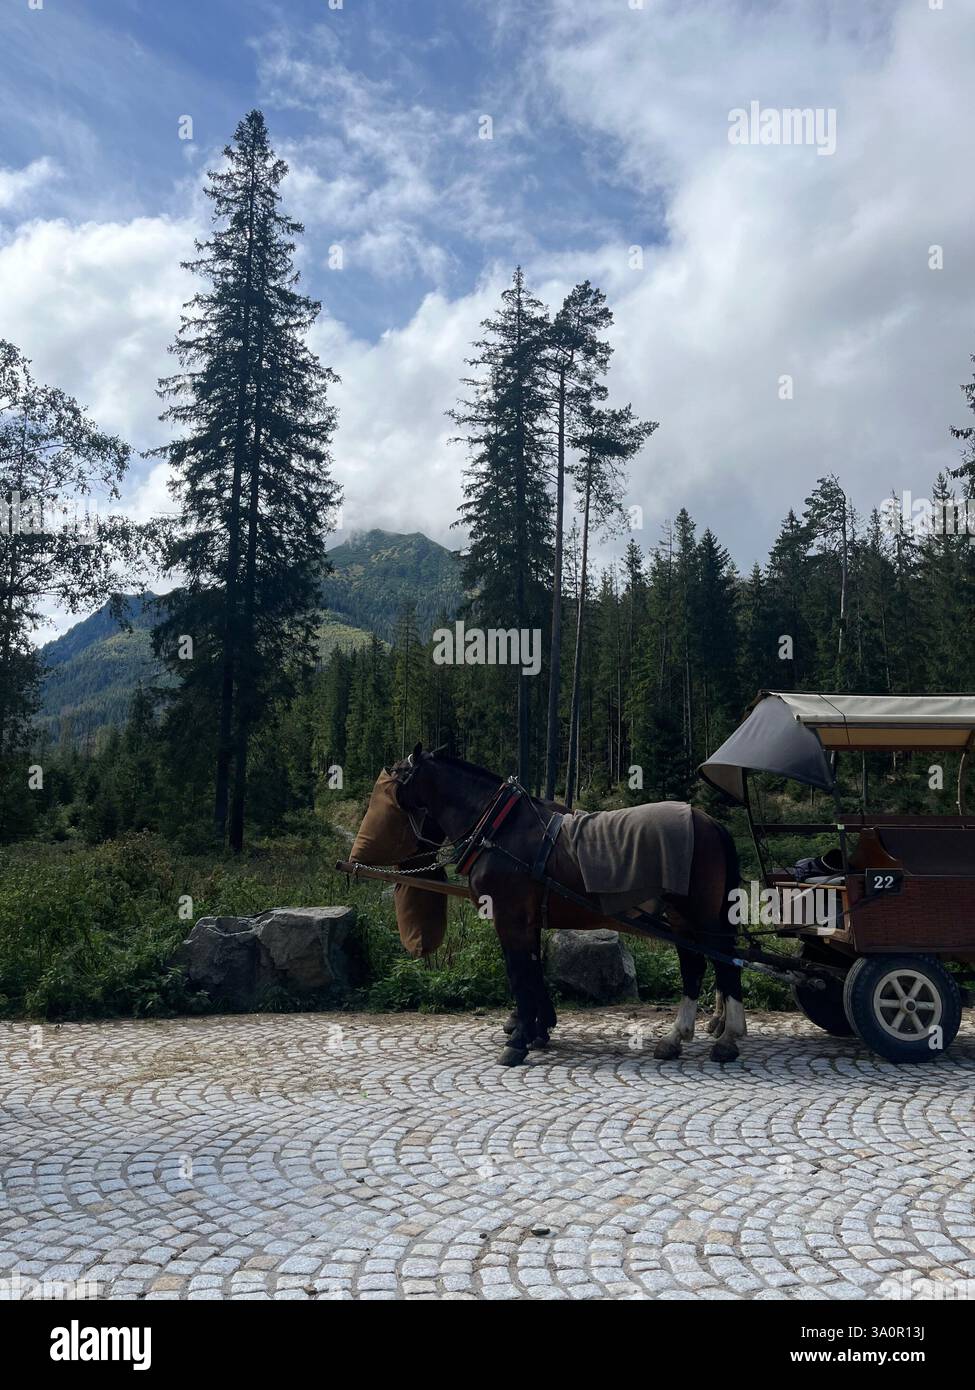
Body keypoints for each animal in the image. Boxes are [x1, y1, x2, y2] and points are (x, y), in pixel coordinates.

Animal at [351, 744, 744, 1067]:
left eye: (396, 781)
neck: (500, 828)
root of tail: (710, 821)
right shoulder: (528, 920)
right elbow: (533, 970)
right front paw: (537, 1030)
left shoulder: (509, 917)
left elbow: (519, 973)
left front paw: (520, 1040)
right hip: (681, 918)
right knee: (695, 966)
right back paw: (676, 1038)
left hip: (701, 915)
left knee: (725, 963)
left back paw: (727, 1039)